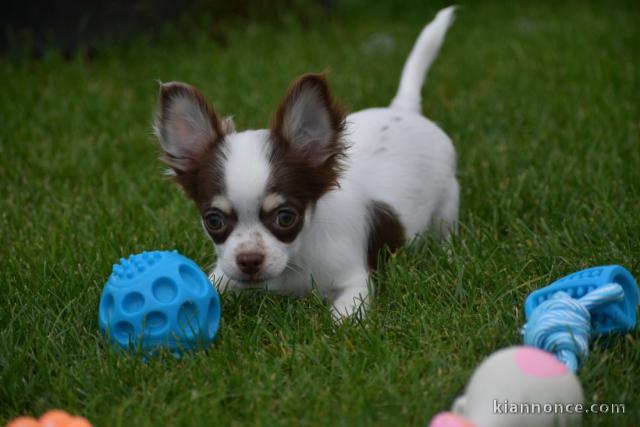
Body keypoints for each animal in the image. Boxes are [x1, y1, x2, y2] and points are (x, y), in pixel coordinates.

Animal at [152, 5, 458, 320]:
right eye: (213, 220)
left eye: (286, 217)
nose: (249, 260)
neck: (293, 262)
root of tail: (403, 109)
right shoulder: (225, 273)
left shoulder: (356, 283)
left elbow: (343, 320)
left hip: (448, 201)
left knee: (445, 230)